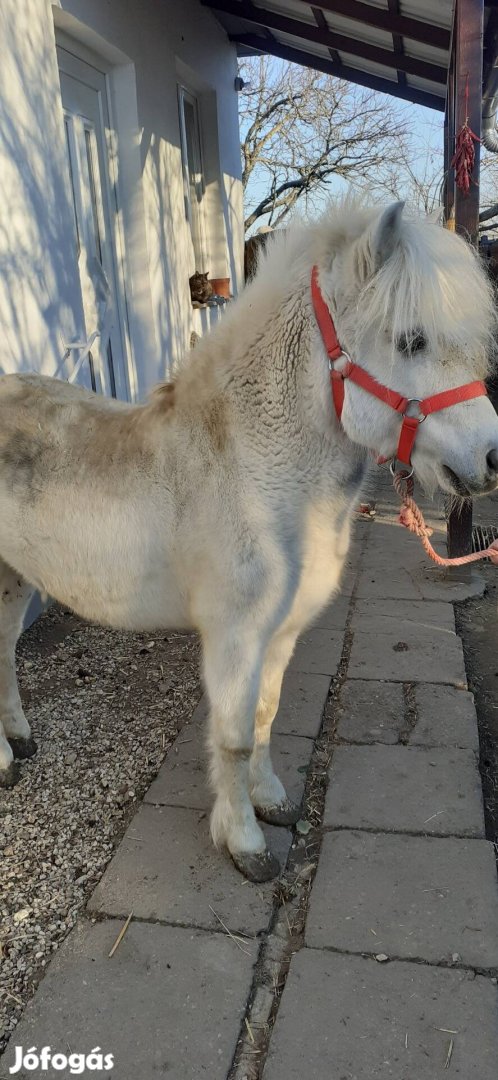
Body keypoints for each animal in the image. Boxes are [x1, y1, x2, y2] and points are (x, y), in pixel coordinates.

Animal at [0, 203, 496, 876]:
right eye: (411, 340)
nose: (492, 459)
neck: (252, 471)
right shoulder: (233, 639)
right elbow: (233, 737)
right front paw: (245, 843)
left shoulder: (280, 632)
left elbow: (265, 716)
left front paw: (273, 802)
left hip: (14, 578)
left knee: (2, 649)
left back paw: (18, 743)